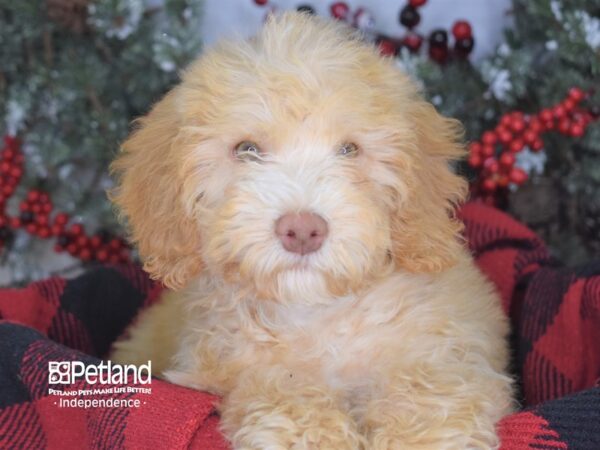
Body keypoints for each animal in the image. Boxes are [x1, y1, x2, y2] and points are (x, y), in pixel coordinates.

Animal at [110, 12, 512, 448]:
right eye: (247, 150)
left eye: (349, 150)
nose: (302, 230)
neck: (317, 314)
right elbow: (281, 386)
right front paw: (314, 431)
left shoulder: (447, 347)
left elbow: (429, 386)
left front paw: (424, 437)